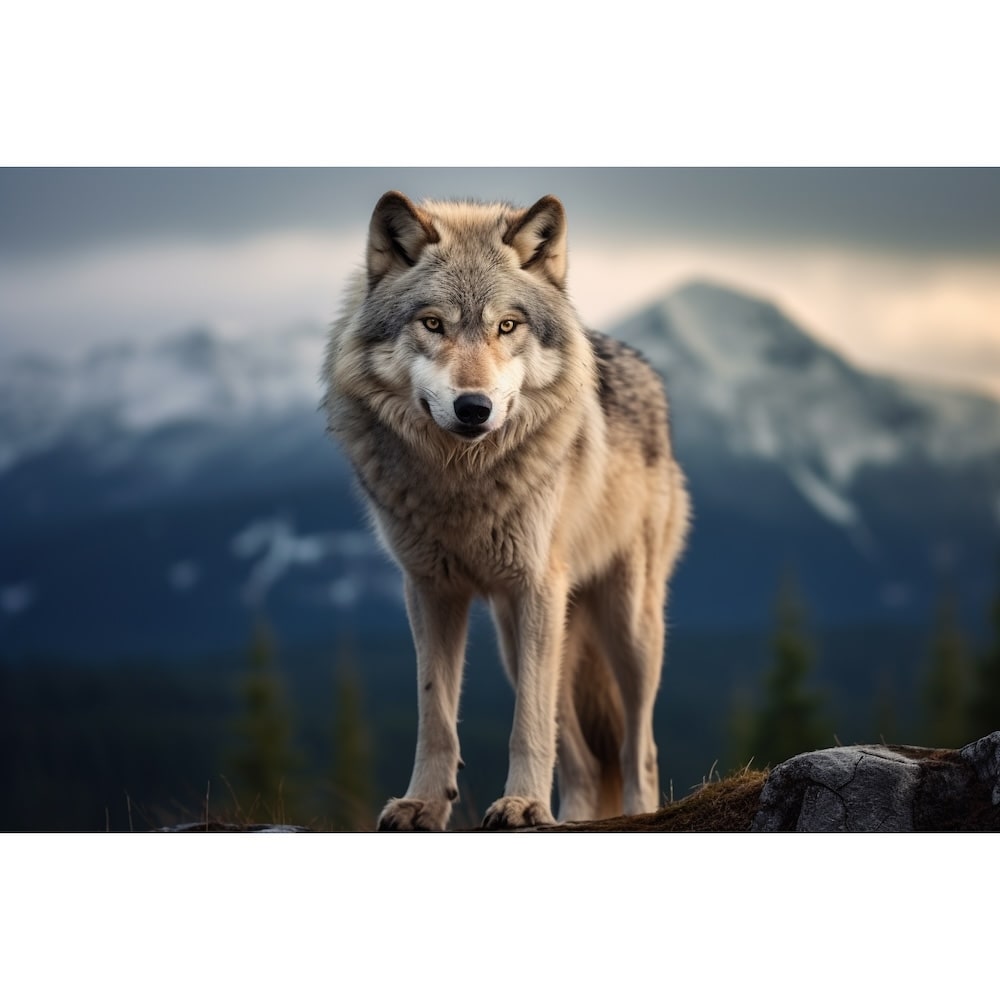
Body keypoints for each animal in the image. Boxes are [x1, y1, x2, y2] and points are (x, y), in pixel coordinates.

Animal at [323, 191, 689, 830]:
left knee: (636, 748)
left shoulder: (538, 586)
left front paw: (520, 803)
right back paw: (566, 815)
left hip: (626, 625)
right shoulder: (430, 590)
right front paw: (423, 804)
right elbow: (436, 716)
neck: (461, 483)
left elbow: (528, 725)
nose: (474, 407)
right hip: (516, 635)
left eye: (507, 326)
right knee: (585, 761)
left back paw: (626, 811)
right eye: (433, 323)